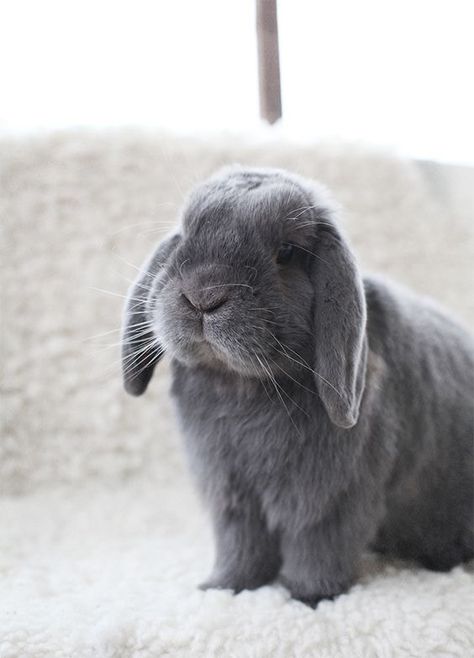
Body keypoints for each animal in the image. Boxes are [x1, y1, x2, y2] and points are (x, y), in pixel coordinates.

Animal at [122, 165, 474, 604]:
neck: (247, 385)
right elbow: (240, 545)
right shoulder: (233, 499)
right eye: (185, 235)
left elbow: (317, 547)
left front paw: (308, 597)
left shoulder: (328, 500)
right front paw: (224, 587)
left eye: (287, 252)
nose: (203, 296)